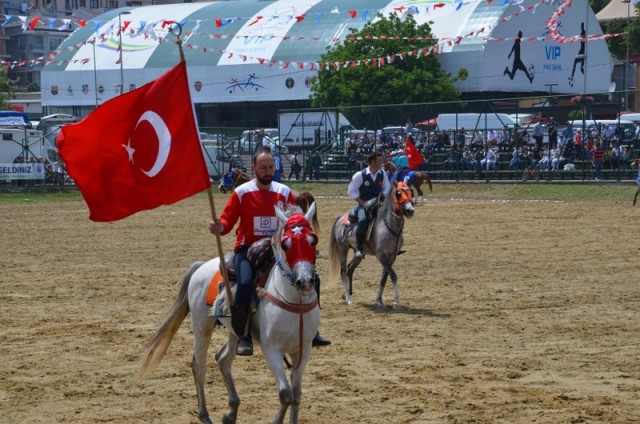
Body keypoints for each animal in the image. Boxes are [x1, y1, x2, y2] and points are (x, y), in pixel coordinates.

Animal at [139, 202, 320, 424]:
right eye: (286, 244)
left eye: (313, 240)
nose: (305, 281)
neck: (294, 303)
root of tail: (201, 266)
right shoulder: (271, 349)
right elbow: (286, 395)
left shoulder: (303, 350)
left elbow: (296, 395)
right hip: (202, 328)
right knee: (198, 366)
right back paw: (205, 415)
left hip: (236, 331)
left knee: (223, 359)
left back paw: (230, 412)